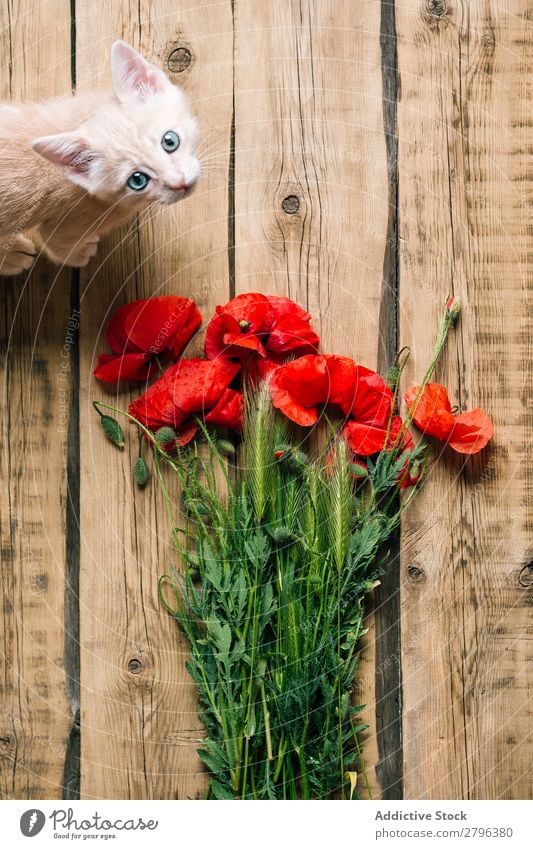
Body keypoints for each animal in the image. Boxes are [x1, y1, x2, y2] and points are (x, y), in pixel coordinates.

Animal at [0, 39, 198, 274]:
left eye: (170, 141)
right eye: (137, 180)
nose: (180, 183)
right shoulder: (72, 220)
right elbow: (56, 243)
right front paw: (78, 254)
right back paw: (13, 255)